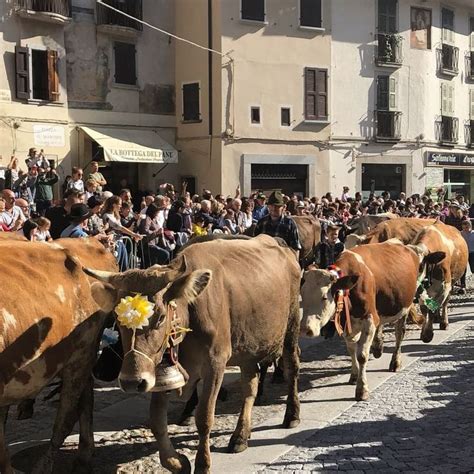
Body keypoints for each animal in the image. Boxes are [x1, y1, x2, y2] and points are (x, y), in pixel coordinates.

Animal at [85, 234, 300, 474]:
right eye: (117, 319)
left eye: (161, 317)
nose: (132, 382)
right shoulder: (162, 371)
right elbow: (157, 421)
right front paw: (177, 462)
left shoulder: (216, 363)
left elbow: (204, 417)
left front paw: (202, 464)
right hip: (248, 347)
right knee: (250, 387)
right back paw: (240, 437)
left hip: (290, 327)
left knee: (292, 367)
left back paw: (291, 415)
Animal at [300, 241, 430, 400]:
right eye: (302, 295)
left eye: (324, 297)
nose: (306, 329)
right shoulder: (346, 324)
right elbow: (351, 350)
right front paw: (354, 375)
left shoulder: (369, 319)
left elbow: (361, 355)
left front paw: (362, 389)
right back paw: (378, 347)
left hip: (404, 307)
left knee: (399, 334)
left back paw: (395, 362)